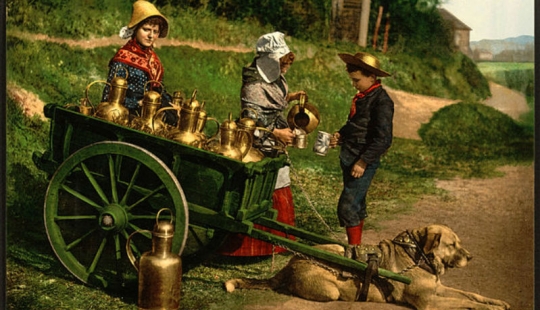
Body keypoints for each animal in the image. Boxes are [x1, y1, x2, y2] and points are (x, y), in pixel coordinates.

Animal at [224, 225, 510, 310]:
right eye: (452, 244)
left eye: (459, 243)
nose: (471, 257)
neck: (416, 254)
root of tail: (289, 265)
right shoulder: (429, 303)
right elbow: (463, 302)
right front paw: (488, 308)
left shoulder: (438, 290)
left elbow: (470, 295)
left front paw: (496, 301)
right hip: (330, 288)